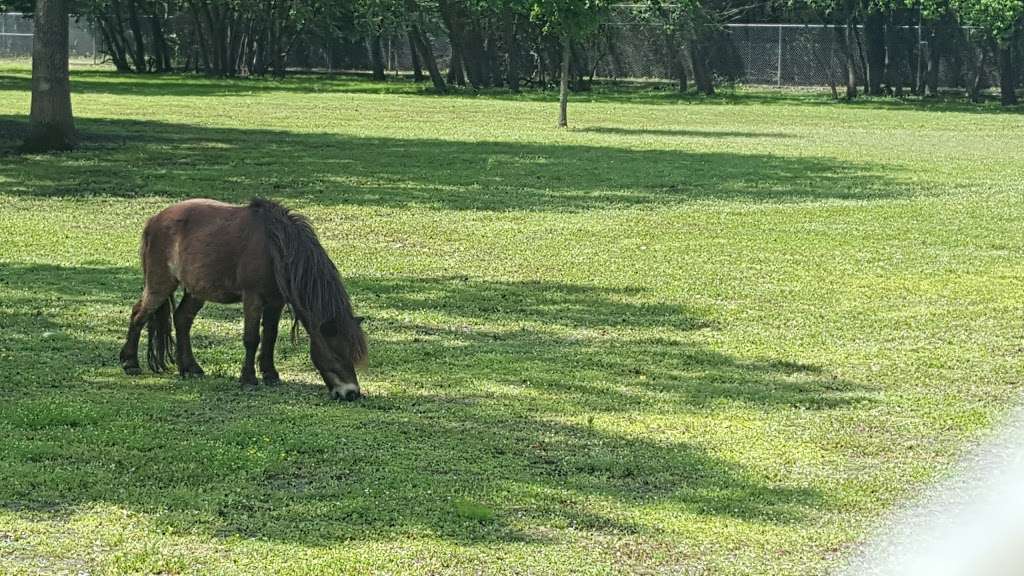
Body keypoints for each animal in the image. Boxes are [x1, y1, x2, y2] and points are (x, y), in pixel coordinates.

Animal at [119, 196, 368, 399]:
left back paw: (190, 368)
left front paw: (270, 375)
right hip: (160, 285)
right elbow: (251, 338)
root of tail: (154, 220)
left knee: (182, 319)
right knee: (139, 314)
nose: (351, 393)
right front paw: (248, 379)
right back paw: (130, 362)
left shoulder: (276, 302)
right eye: (337, 353)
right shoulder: (253, 298)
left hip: (196, 290)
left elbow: (270, 336)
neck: (275, 247)